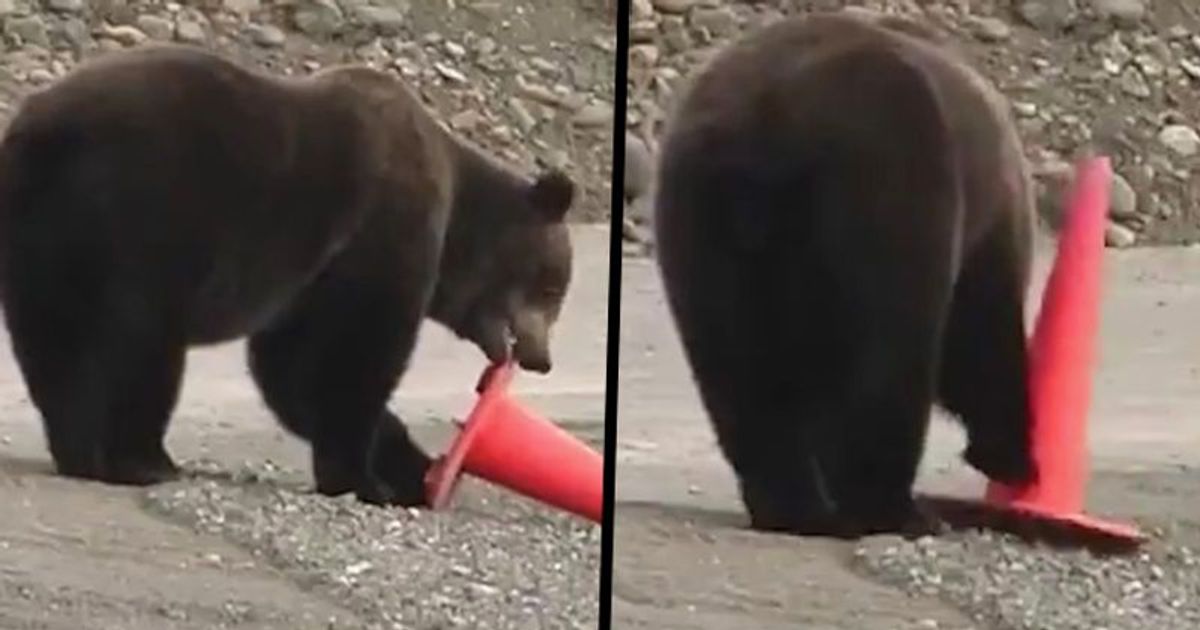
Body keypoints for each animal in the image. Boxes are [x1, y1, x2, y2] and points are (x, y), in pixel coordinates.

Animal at [0, 44, 576, 506]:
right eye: (552, 285)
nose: (541, 358)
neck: (456, 218)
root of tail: (42, 131)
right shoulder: (379, 235)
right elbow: (355, 356)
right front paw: (365, 479)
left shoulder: (310, 280)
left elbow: (291, 370)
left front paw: (411, 468)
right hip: (142, 219)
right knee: (141, 344)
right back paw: (141, 459)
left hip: (41, 238)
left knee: (54, 344)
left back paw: (79, 449)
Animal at [652, 12, 1036, 535]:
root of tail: (764, 124)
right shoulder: (982, 225)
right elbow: (978, 336)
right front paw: (1011, 456)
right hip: (888, 173)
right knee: (893, 352)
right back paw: (895, 508)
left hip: (701, 223)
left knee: (737, 369)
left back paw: (794, 505)